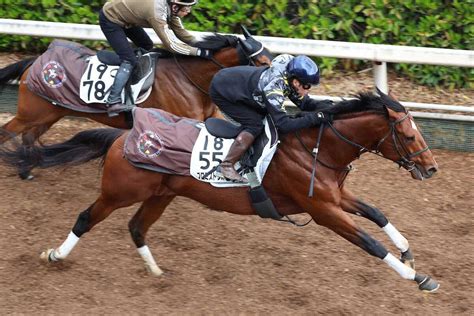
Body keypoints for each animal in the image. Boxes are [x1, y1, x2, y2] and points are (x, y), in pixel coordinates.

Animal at [0, 28, 272, 179]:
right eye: (261, 62)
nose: (273, 85)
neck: (190, 79)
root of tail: (35, 60)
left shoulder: (209, 119)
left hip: (49, 113)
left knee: (28, 136)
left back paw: (26, 169)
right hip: (31, 113)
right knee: (8, 132)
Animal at [0, 89, 440, 292]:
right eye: (406, 134)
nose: (431, 167)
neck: (315, 148)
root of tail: (122, 137)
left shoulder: (334, 198)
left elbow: (377, 213)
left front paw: (407, 251)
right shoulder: (322, 209)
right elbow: (369, 242)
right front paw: (417, 277)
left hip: (162, 195)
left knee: (137, 227)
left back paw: (156, 272)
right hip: (119, 191)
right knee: (86, 218)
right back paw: (55, 255)